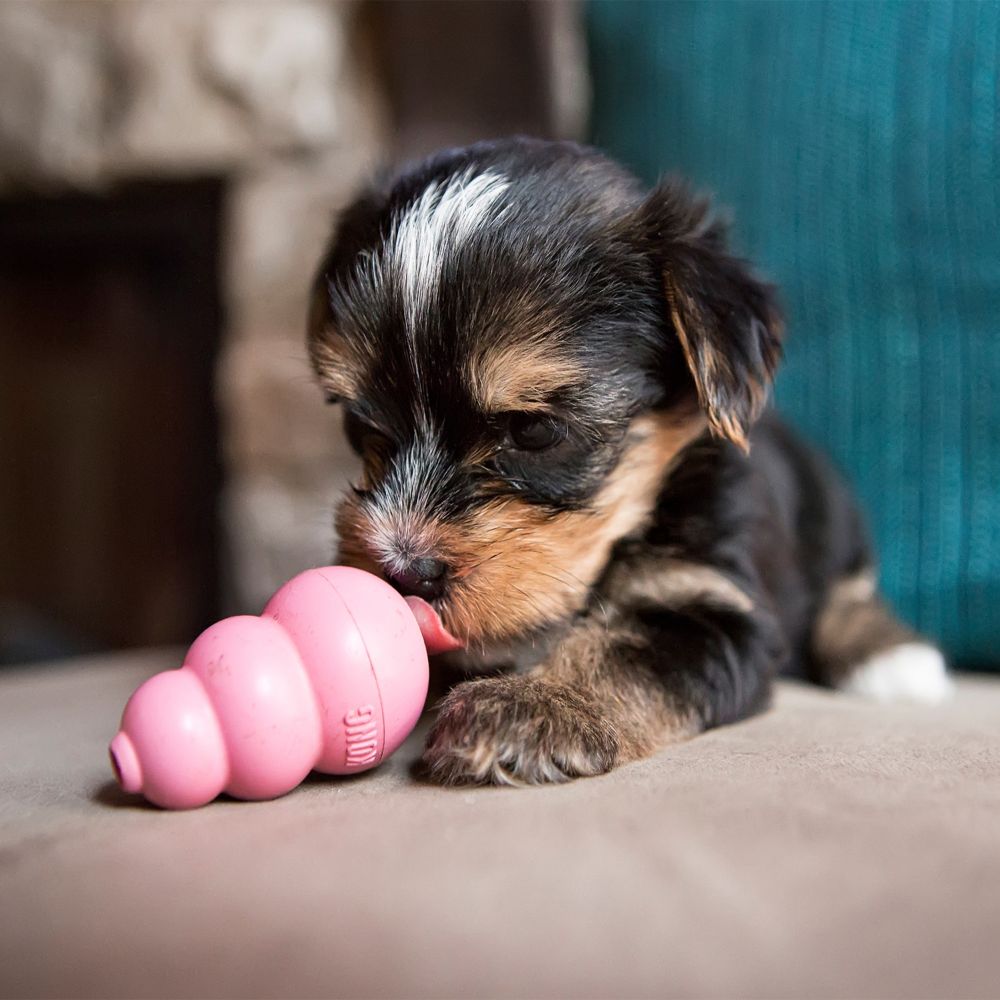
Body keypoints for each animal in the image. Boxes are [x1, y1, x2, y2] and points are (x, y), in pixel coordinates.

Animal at [306, 137, 952, 784]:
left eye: (534, 430)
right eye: (360, 424)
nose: (404, 572)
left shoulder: (712, 604)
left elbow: (621, 652)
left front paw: (531, 705)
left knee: (849, 593)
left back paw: (890, 657)